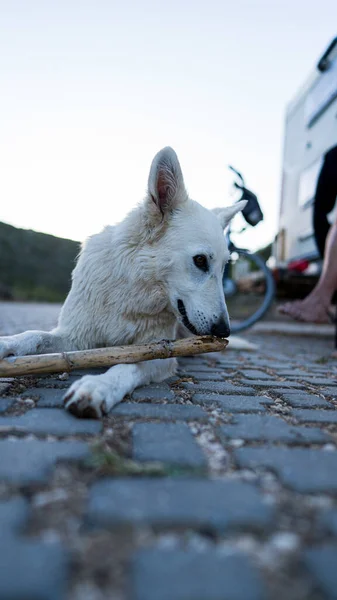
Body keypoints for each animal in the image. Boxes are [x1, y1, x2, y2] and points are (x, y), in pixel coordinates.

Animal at [0, 147, 244, 418]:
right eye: (200, 260)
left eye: (224, 267)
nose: (224, 331)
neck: (132, 290)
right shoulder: (75, 338)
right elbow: (35, 336)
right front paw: (7, 342)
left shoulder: (160, 351)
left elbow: (127, 366)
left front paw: (98, 385)